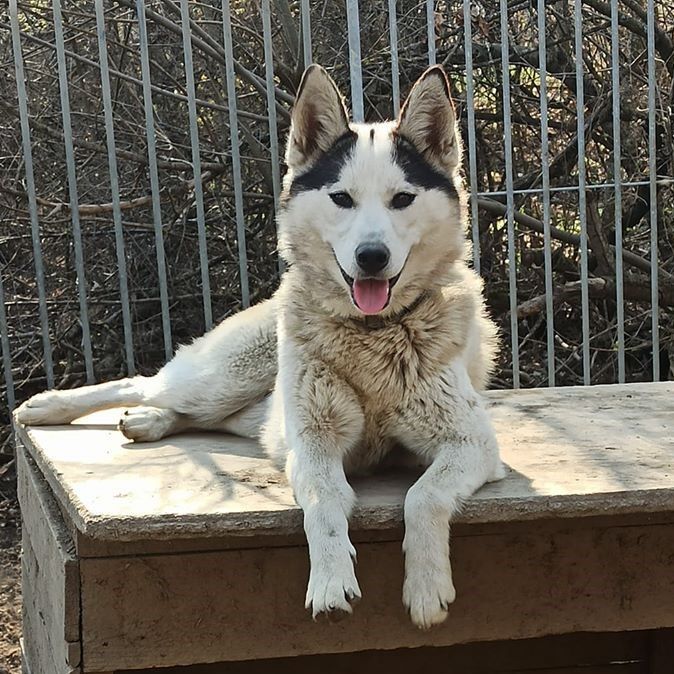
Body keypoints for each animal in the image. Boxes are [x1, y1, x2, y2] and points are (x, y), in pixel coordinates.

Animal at [15, 64, 502, 632]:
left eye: (402, 199)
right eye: (342, 198)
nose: (372, 257)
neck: (372, 338)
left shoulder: (472, 443)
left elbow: (423, 495)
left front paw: (426, 587)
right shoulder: (312, 443)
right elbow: (324, 501)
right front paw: (331, 580)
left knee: (192, 411)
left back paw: (147, 422)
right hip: (225, 377)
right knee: (146, 381)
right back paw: (51, 406)